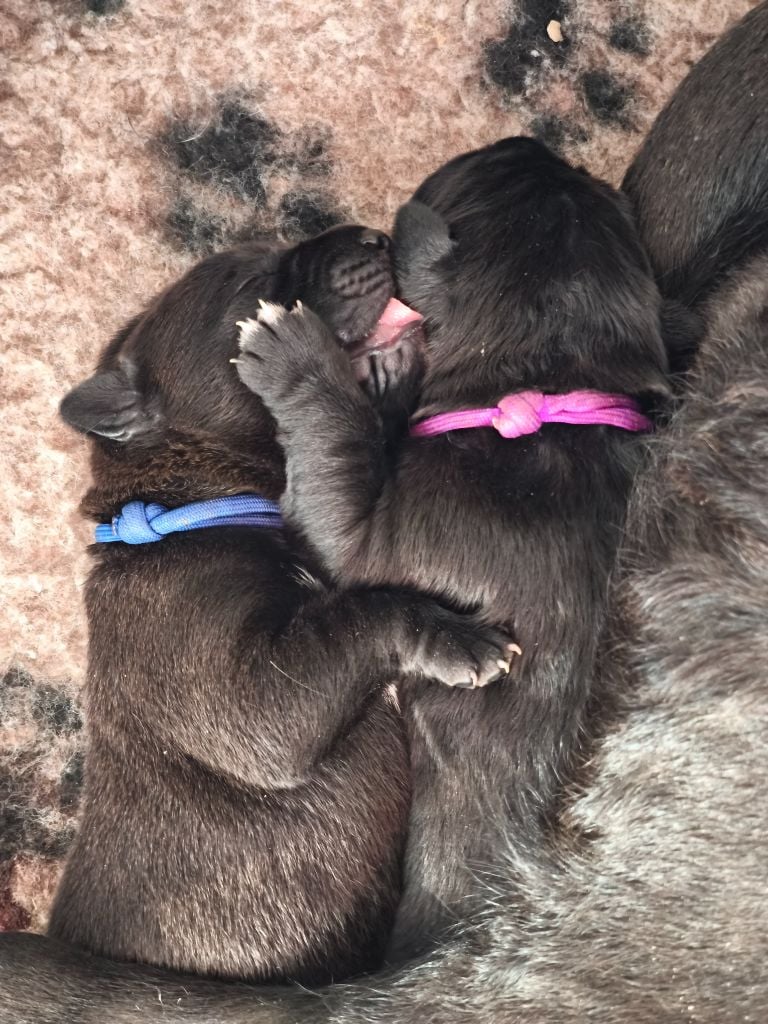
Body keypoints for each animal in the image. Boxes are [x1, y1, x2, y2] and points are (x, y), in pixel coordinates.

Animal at [51, 226, 514, 983]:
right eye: (251, 280)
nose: (372, 235)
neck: (183, 500)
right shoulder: (248, 697)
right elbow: (361, 611)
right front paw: (456, 639)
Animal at [236, 138, 671, 958]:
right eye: (577, 180)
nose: (529, 140)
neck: (547, 384)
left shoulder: (364, 541)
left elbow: (335, 451)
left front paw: (300, 357)